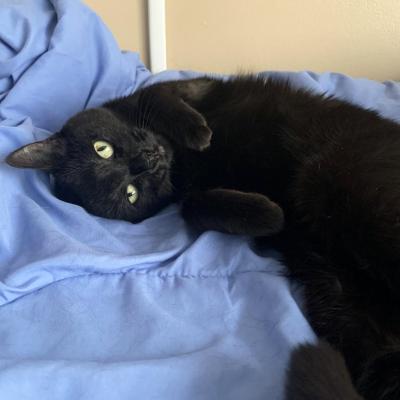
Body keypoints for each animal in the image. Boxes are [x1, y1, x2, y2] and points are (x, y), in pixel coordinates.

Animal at [5, 76, 400, 398]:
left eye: (103, 148)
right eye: (130, 193)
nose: (147, 163)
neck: (181, 163)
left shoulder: (188, 87)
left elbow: (160, 97)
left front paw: (197, 132)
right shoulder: (183, 194)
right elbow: (191, 207)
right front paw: (267, 215)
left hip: (336, 181)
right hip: (338, 301)